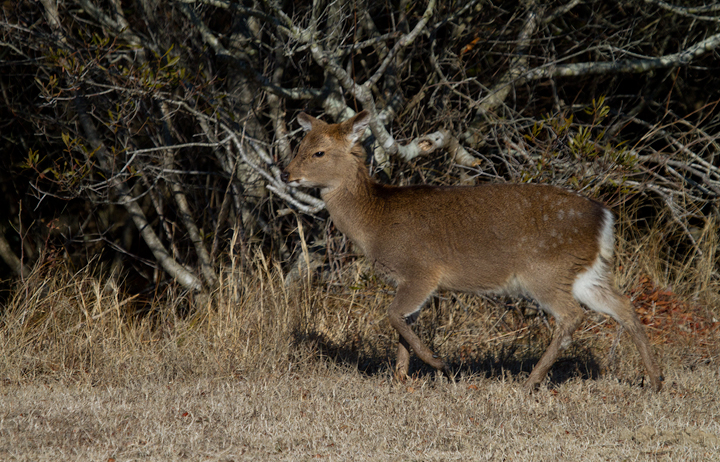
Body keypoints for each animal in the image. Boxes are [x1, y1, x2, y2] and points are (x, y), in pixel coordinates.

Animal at [282, 110, 663, 392]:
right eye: (299, 145)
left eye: (318, 152)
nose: (287, 175)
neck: (375, 222)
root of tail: (605, 217)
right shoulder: (408, 280)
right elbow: (401, 324)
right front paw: (401, 378)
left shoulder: (421, 270)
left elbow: (392, 316)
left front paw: (438, 362)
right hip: (587, 272)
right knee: (624, 306)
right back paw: (655, 380)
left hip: (546, 270)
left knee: (572, 316)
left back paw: (531, 382)